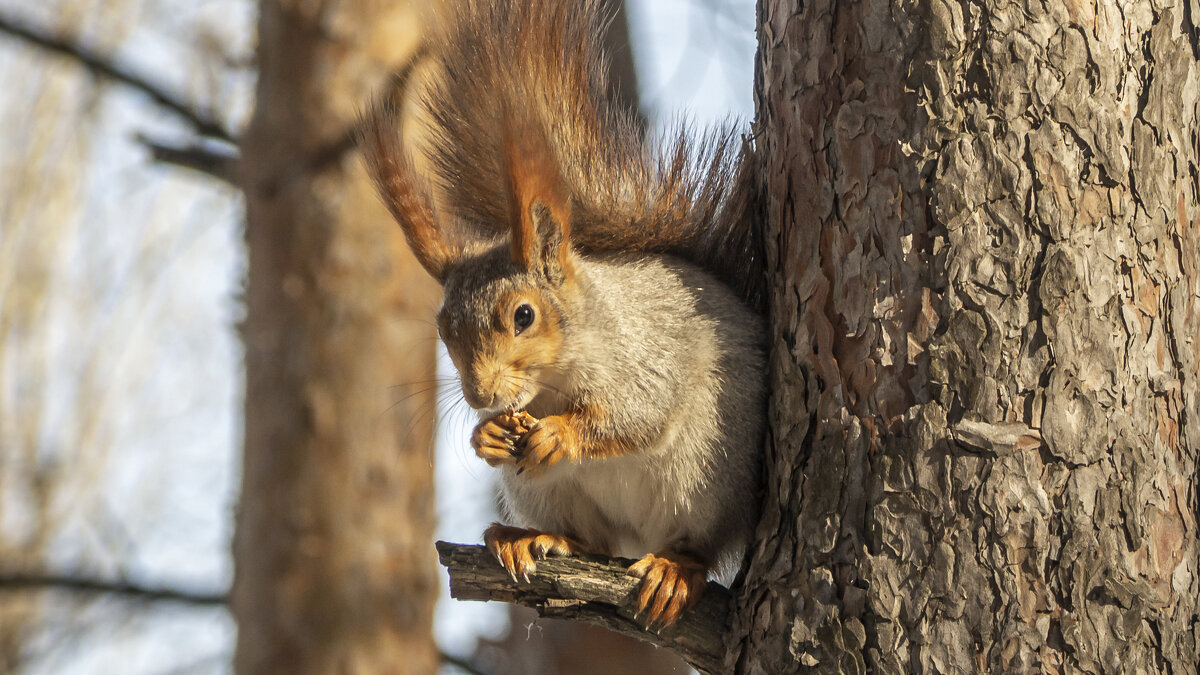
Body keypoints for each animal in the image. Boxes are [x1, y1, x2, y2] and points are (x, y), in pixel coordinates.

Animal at [360, 0, 763, 624]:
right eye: (443, 327)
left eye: (524, 316)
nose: (480, 395)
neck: (553, 383)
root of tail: (638, 537)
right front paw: (487, 435)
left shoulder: (648, 355)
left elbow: (636, 416)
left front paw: (559, 435)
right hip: (546, 493)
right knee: (587, 539)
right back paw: (529, 538)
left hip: (710, 478)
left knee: (698, 543)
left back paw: (674, 570)